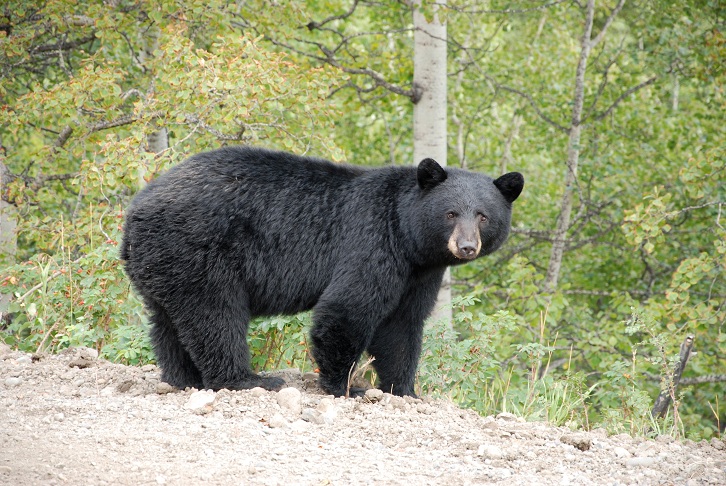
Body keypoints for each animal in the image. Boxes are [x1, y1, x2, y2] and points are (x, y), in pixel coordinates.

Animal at [121, 146, 523, 397]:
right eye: (451, 213)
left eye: (483, 216)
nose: (466, 246)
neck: (408, 236)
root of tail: (136, 210)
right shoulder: (371, 241)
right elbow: (347, 308)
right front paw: (346, 386)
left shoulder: (419, 273)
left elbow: (402, 325)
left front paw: (404, 389)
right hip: (199, 250)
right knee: (215, 315)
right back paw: (246, 380)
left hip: (164, 262)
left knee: (168, 322)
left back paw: (182, 378)